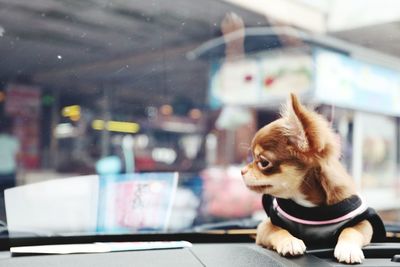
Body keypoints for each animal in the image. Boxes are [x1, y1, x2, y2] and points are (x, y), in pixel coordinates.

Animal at [241, 93, 384, 264]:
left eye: (263, 163)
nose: (241, 171)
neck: (309, 205)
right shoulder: (265, 226)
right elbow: (278, 230)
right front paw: (290, 242)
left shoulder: (365, 222)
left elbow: (350, 230)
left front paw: (348, 249)